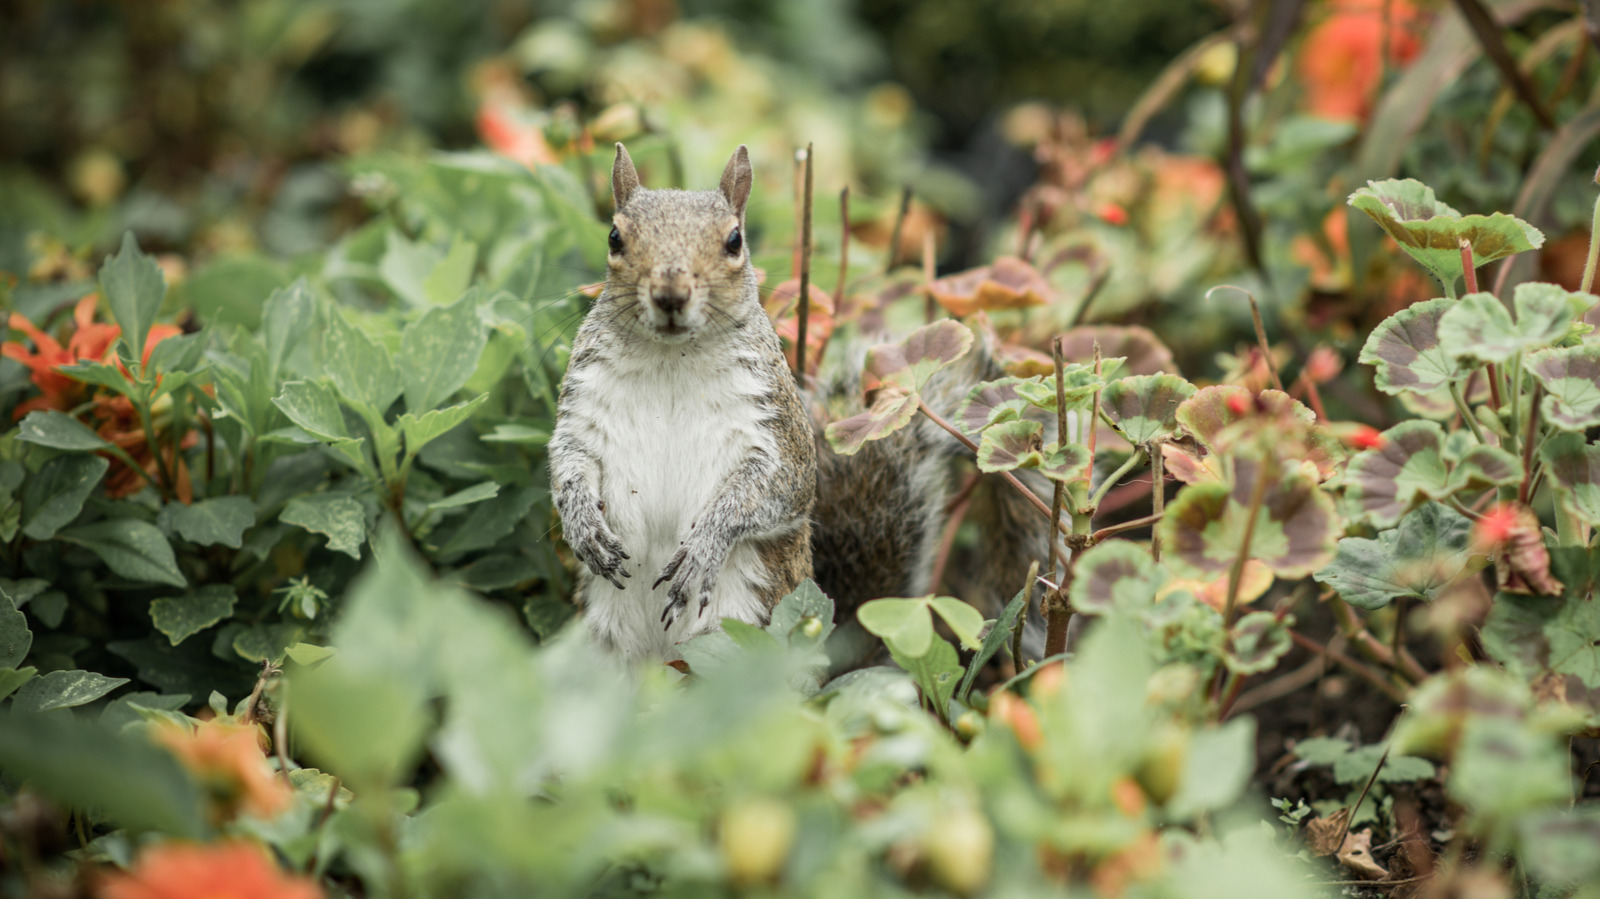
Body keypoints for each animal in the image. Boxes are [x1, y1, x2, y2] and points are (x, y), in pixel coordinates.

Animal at [550, 143, 1055, 666]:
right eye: (614, 237)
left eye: (734, 241)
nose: (670, 294)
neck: (672, 357)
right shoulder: (584, 407)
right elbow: (568, 463)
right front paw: (581, 523)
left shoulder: (775, 427)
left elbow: (777, 490)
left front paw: (705, 546)